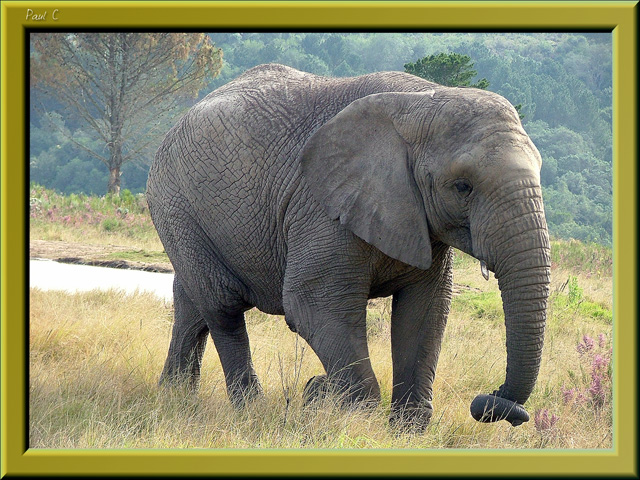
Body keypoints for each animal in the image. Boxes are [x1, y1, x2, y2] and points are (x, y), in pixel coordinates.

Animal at [146, 62, 552, 428]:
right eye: (462, 186)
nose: (493, 402)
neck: (424, 100)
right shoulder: (320, 205)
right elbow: (315, 305)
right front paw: (350, 414)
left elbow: (425, 310)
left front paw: (406, 430)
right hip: (174, 205)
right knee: (222, 308)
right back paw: (250, 410)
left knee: (192, 304)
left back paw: (174, 396)